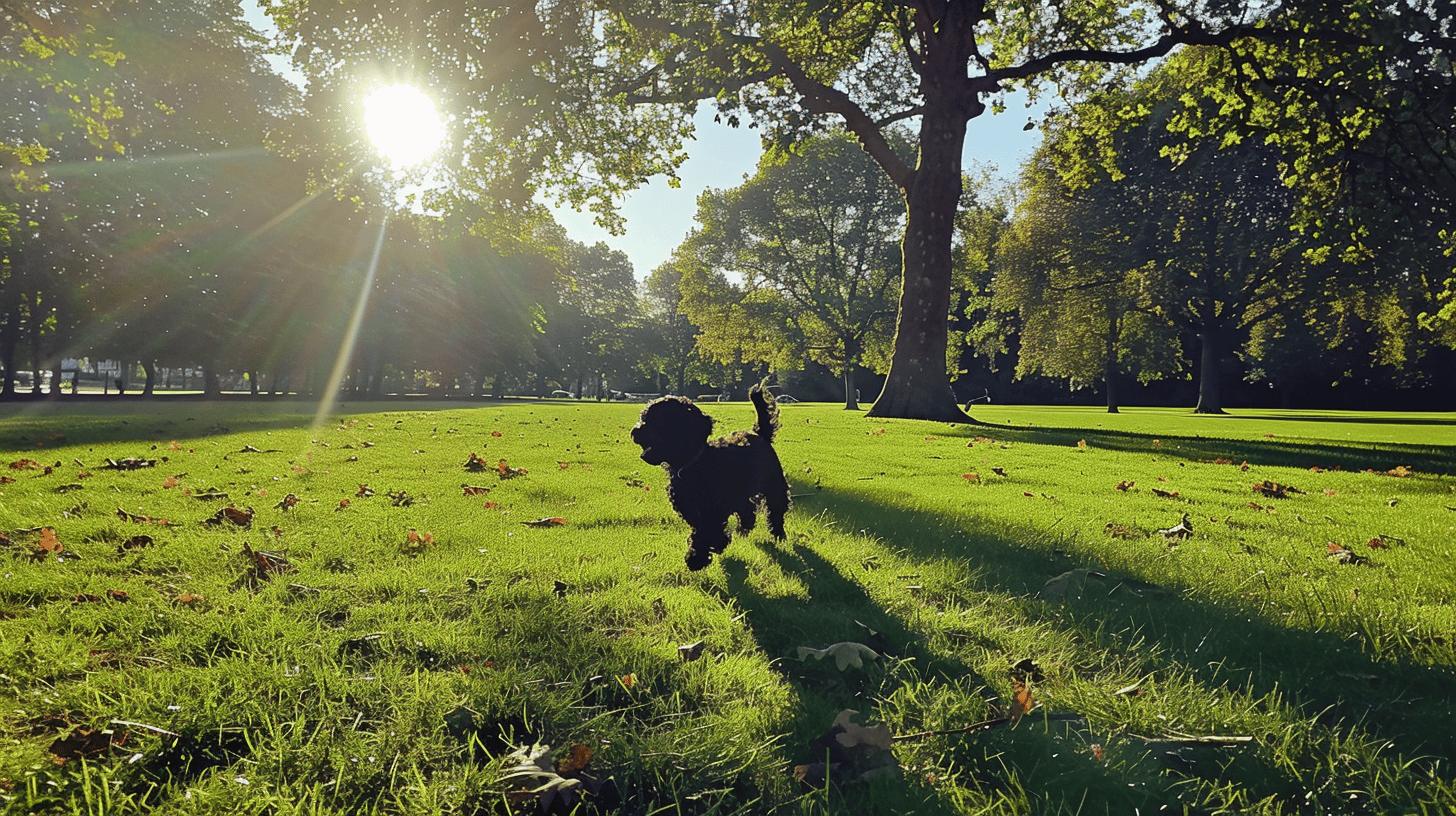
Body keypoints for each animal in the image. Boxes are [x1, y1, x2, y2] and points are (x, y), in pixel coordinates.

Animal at [631, 384, 792, 571]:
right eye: (644, 417)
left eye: (658, 421)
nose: (635, 431)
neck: (694, 462)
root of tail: (758, 434)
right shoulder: (693, 511)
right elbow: (701, 530)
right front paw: (709, 549)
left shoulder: (713, 511)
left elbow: (707, 531)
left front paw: (698, 558)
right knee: (747, 511)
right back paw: (743, 531)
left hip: (774, 487)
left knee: (775, 512)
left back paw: (779, 535)